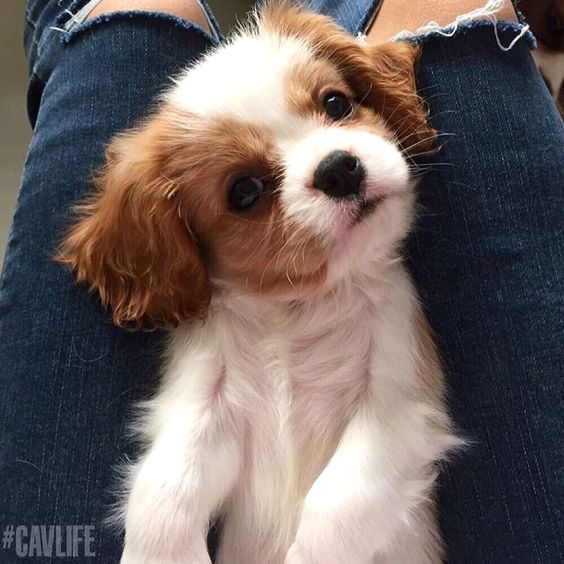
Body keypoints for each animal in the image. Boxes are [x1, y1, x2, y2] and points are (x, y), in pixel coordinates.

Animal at [60, 2, 458, 560]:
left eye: (337, 103)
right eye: (244, 191)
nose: (339, 169)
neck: (299, 306)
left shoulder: (396, 406)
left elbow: (338, 503)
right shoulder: (205, 404)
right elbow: (164, 488)